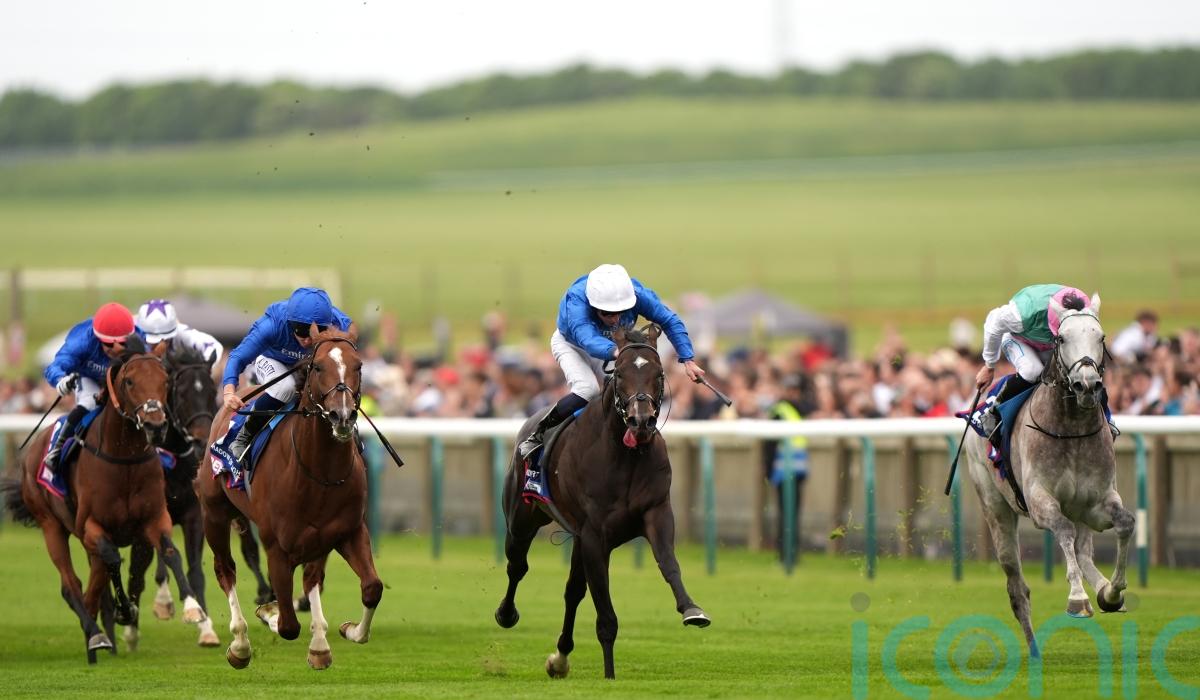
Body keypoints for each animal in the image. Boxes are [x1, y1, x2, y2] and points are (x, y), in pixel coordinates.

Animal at [1, 336, 208, 664]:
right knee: (72, 585)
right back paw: (96, 634)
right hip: (51, 526)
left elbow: (170, 553)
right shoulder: (92, 528)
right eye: (130, 381)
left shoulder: (157, 518)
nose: (155, 425)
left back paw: (96, 638)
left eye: (165, 381)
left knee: (93, 589)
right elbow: (114, 560)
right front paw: (126, 612)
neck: (124, 460)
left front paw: (192, 609)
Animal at [124, 341, 273, 649]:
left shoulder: (194, 516)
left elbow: (196, 571)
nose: (203, 439)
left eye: (209, 388)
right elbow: (152, 563)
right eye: (180, 392)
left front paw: (206, 627)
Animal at [197, 325, 382, 670]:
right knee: (225, 569)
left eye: (359, 366)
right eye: (318, 366)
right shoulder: (277, 547)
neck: (319, 472)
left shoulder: (344, 532)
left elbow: (370, 588)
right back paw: (240, 644)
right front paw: (269, 612)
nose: (342, 416)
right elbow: (287, 625)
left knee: (313, 580)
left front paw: (344, 633)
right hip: (214, 513)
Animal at [494, 324, 710, 680]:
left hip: (577, 538)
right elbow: (605, 612)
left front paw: (692, 609)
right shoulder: (596, 535)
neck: (625, 455)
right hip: (521, 520)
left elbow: (668, 563)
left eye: (659, 373)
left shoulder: (656, 513)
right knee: (517, 566)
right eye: (620, 374)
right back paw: (506, 614)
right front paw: (610, 675)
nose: (640, 420)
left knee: (572, 591)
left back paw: (560, 658)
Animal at [965, 293, 1134, 656]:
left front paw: (1112, 593)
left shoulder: (1098, 501)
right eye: (1062, 338)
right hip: (995, 509)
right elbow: (1063, 531)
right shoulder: (1041, 502)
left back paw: (1104, 590)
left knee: (1083, 552)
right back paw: (1033, 648)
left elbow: (1125, 523)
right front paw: (1077, 598)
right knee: (1017, 586)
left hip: (1080, 508)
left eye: (1101, 337)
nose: (1087, 385)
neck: (1071, 429)